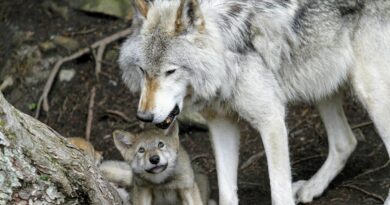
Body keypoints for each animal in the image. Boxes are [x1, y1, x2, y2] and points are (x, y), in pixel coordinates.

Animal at [119, 0, 390, 204]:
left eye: (170, 71)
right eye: (142, 70)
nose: (143, 117)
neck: (225, 50)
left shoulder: (272, 120)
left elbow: (279, 194)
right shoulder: (221, 124)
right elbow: (227, 193)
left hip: (369, 91)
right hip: (321, 83)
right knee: (346, 141)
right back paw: (313, 187)